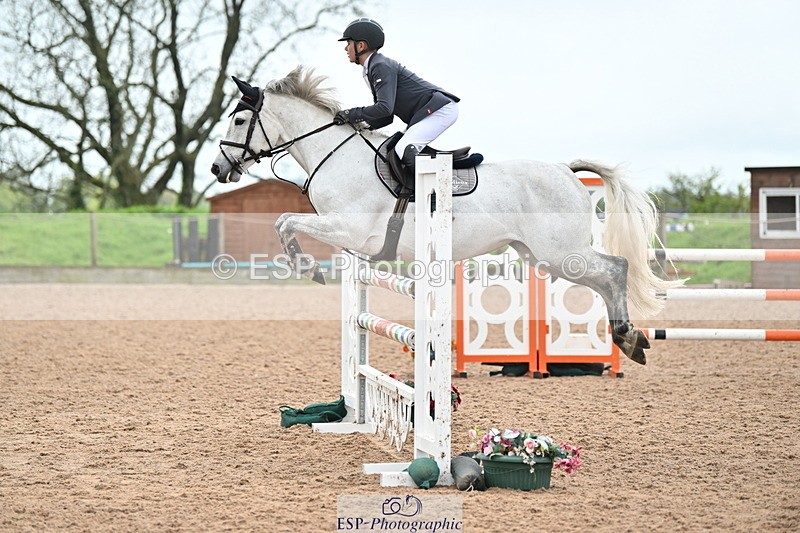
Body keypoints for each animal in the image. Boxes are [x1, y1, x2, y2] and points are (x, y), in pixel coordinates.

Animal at [210, 66, 683, 365]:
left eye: (239, 120)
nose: (217, 169)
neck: (336, 154)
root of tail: (566, 171)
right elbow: (283, 222)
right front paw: (307, 266)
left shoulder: (349, 229)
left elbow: (286, 222)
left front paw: (307, 267)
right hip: (541, 256)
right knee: (604, 277)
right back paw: (630, 339)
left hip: (560, 252)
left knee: (615, 268)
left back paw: (628, 336)